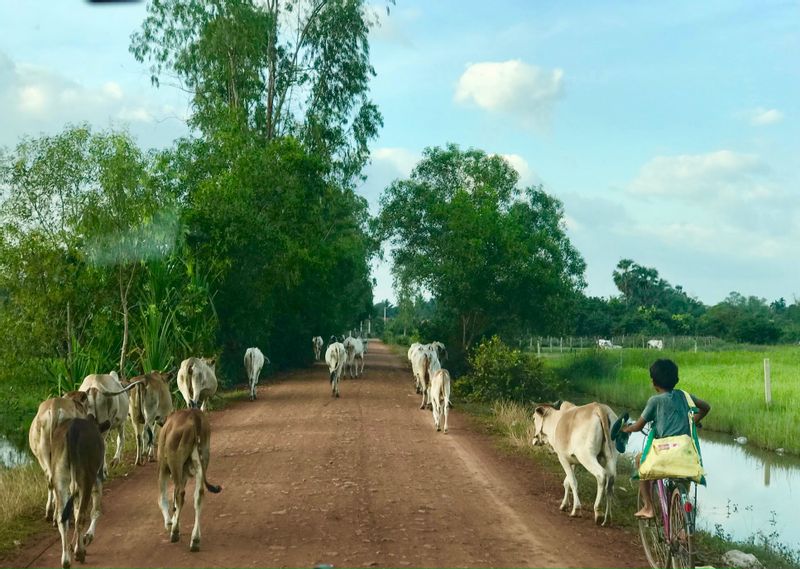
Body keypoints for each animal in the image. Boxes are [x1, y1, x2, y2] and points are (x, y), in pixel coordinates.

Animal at [49, 412, 109, 568]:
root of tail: (72, 429)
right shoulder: (98, 478)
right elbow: (95, 511)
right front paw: (87, 538)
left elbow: (75, 512)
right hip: (86, 478)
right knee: (81, 517)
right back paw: (79, 553)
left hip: (60, 480)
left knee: (62, 519)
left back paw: (66, 559)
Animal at [156, 408, 222, 552]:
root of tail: (194, 416)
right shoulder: (184, 473)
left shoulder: (163, 467)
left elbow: (163, 498)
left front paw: (169, 523)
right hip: (202, 459)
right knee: (198, 495)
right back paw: (195, 540)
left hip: (175, 461)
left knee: (180, 493)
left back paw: (175, 532)